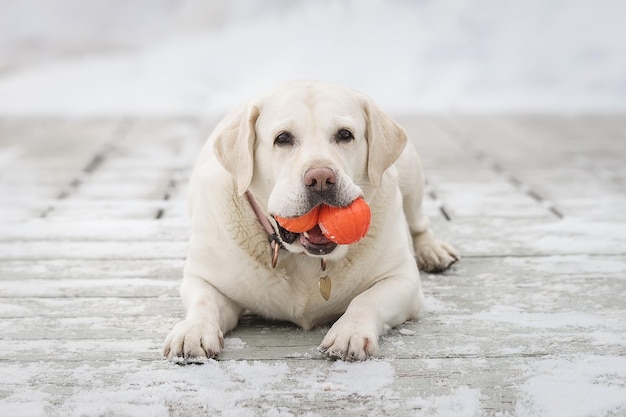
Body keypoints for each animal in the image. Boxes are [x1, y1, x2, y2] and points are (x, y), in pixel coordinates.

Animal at [163, 81, 456, 360]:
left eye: (345, 135)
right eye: (282, 138)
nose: (321, 179)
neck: (305, 260)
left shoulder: (402, 279)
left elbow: (366, 300)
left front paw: (349, 333)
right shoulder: (203, 278)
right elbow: (204, 302)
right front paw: (192, 332)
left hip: (410, 172)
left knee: (418, 222)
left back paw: (433, 251)